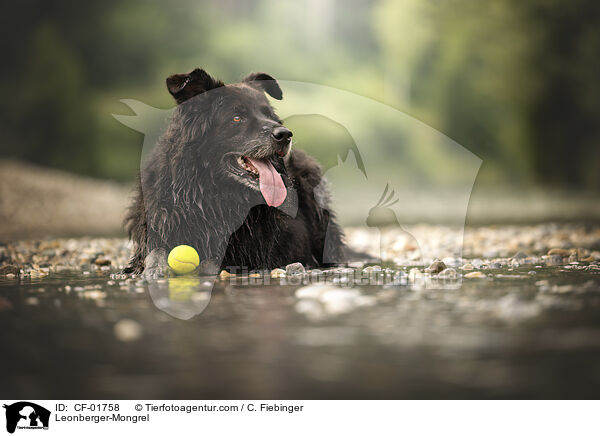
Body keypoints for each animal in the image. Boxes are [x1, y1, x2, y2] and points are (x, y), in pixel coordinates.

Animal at [123, 68, 346, 276]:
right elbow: (154, 251)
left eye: (269, 116)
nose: (285, 134)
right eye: (237, 118)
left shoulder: (245, 251)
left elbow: (210, 262)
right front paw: (154, 267)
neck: (209, 192)